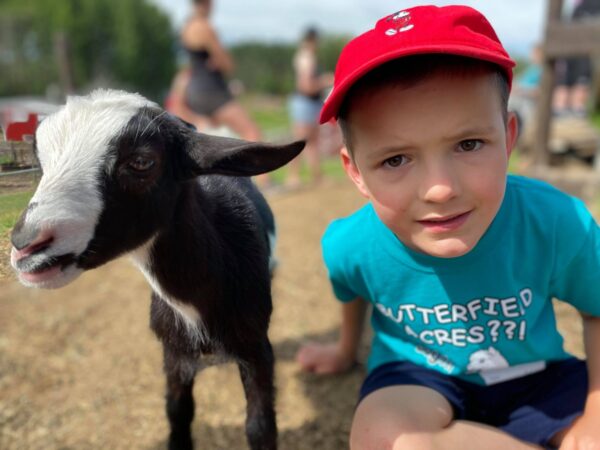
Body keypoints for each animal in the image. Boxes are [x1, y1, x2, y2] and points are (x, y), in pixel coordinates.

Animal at [11, 89, 304, 448]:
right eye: (39, 163)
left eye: (141, 162)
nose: (25, 244)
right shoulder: (173, 355)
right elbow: (177, 415)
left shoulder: (257, 348)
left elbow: (260, 425)